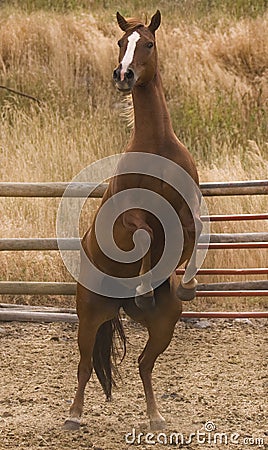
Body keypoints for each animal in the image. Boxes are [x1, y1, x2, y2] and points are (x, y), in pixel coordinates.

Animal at [65, 10, 202, 432]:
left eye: (149, 43)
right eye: (120, 42)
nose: (123, 74)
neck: (156, 146)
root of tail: (118, 306)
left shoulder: (188, 211)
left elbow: (193, 232)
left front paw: (186, 285)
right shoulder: (128, 220)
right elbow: (143, 233)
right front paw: (144, 282)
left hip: (164, 323)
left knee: (144, 364)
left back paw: (156, 416)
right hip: (90, 316)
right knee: (84, 365)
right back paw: (74, 415)